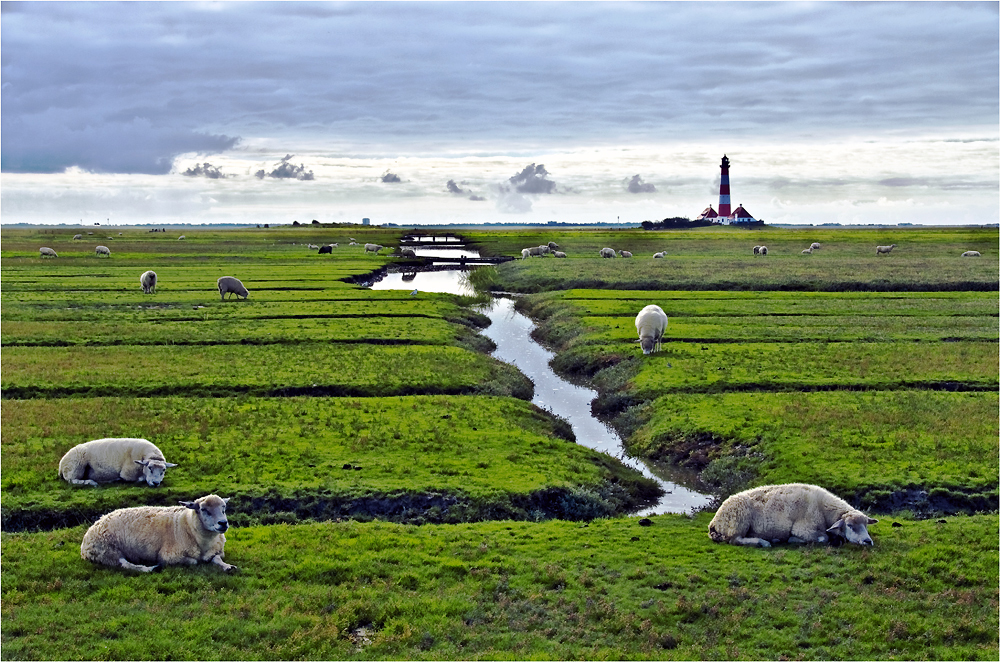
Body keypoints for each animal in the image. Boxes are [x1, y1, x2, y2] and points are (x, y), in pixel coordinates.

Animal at [80, 496, 236, 572]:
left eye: (224, 508)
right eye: (204, 509)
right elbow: (194, 561)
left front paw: (229, 567)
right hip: (108, 551)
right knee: (125, 565)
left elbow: (217, 559)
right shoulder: (169, 556)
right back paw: (150, 569)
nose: (223, 523)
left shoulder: (216, 551)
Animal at [708, 482, 880, 548]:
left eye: (866, 525)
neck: (824, 510)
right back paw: (763, 542)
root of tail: (714, 522)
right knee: (736, 540)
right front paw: (792, 539)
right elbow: (822, 538)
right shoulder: (804, 529)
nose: (868, 541)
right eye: (850, 526)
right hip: (738, 523)